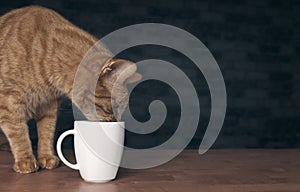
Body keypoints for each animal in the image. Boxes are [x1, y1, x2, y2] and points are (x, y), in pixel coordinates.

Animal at [0, 5, 141, 174]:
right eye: (116, 106)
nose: (116, 123)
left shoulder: (49, 106)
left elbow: (46, 133)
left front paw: (46, 156)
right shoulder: (9, 102)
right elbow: (18, 133)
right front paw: (25, 160)